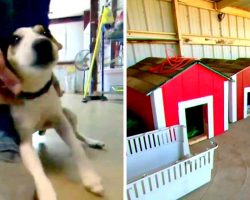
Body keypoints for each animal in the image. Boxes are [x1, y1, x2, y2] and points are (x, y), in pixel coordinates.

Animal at [4, 25, 104, 200]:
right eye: (15, 39)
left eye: (45, 33)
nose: (42, 44)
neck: (36, 92)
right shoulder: (24, 142)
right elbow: (36, 168)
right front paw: (46, 191)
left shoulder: (61, 122)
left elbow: (77, 149)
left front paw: (90, 178)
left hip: (69, 114)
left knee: (78, 134)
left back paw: (92, 141)